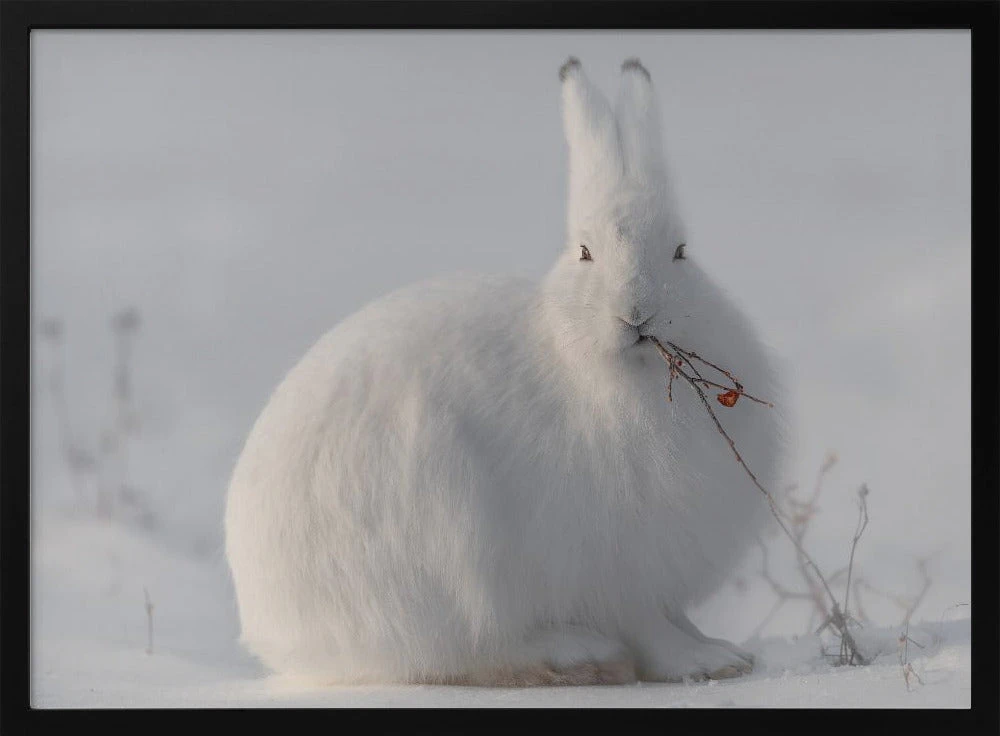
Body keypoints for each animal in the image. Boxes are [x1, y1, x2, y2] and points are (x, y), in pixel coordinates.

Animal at [224, 57, 785, 687]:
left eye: (682, 252)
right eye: (585, 252)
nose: (637, 312)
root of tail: (274, 632)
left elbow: (675, 617)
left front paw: (725, 653)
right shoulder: (613, 567)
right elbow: (649, 627)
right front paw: (702, 664)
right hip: (445, 546)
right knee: (466, 650)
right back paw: (577, 651)